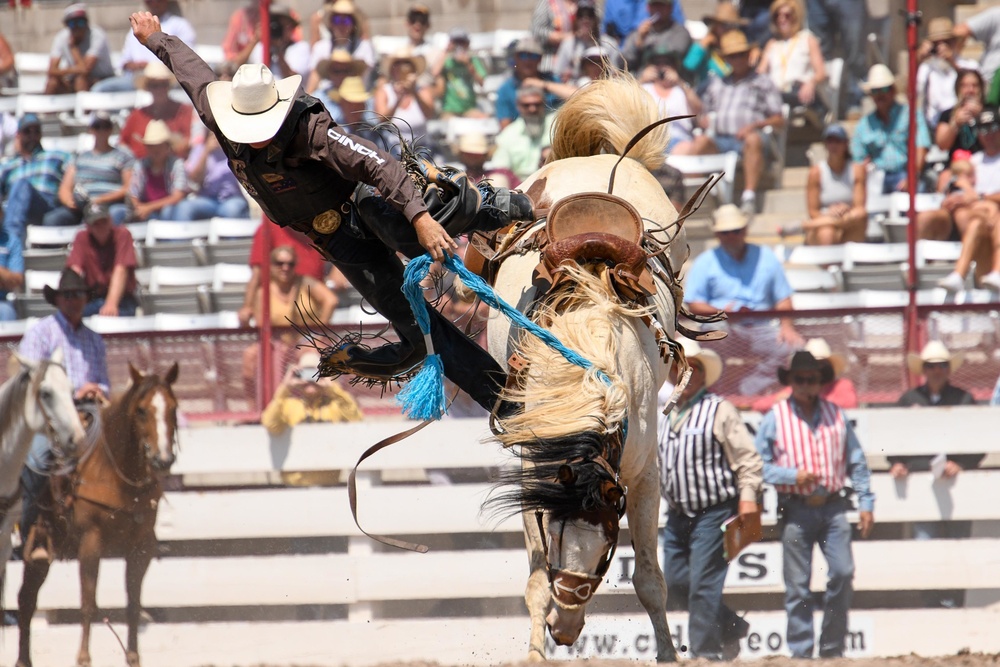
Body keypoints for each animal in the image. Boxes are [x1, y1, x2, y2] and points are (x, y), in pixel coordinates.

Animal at [17, 362, 180, 667]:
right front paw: (83, 658)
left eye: (174, 408)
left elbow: (133, 604)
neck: (116, 473)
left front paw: (133, 658)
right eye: (141, 410)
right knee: (26, 599)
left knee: (26, 598)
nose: (163, 459)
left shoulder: (140, 548)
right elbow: (88, 603)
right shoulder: (90, 543)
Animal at [486, 74, 696, 664]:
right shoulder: (532, 473)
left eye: (605, 552)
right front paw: (536, 651)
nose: (566, 630)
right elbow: (535, 581)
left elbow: (650, 580)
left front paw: (668, 653)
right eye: (555, 538)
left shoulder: (645, 477)